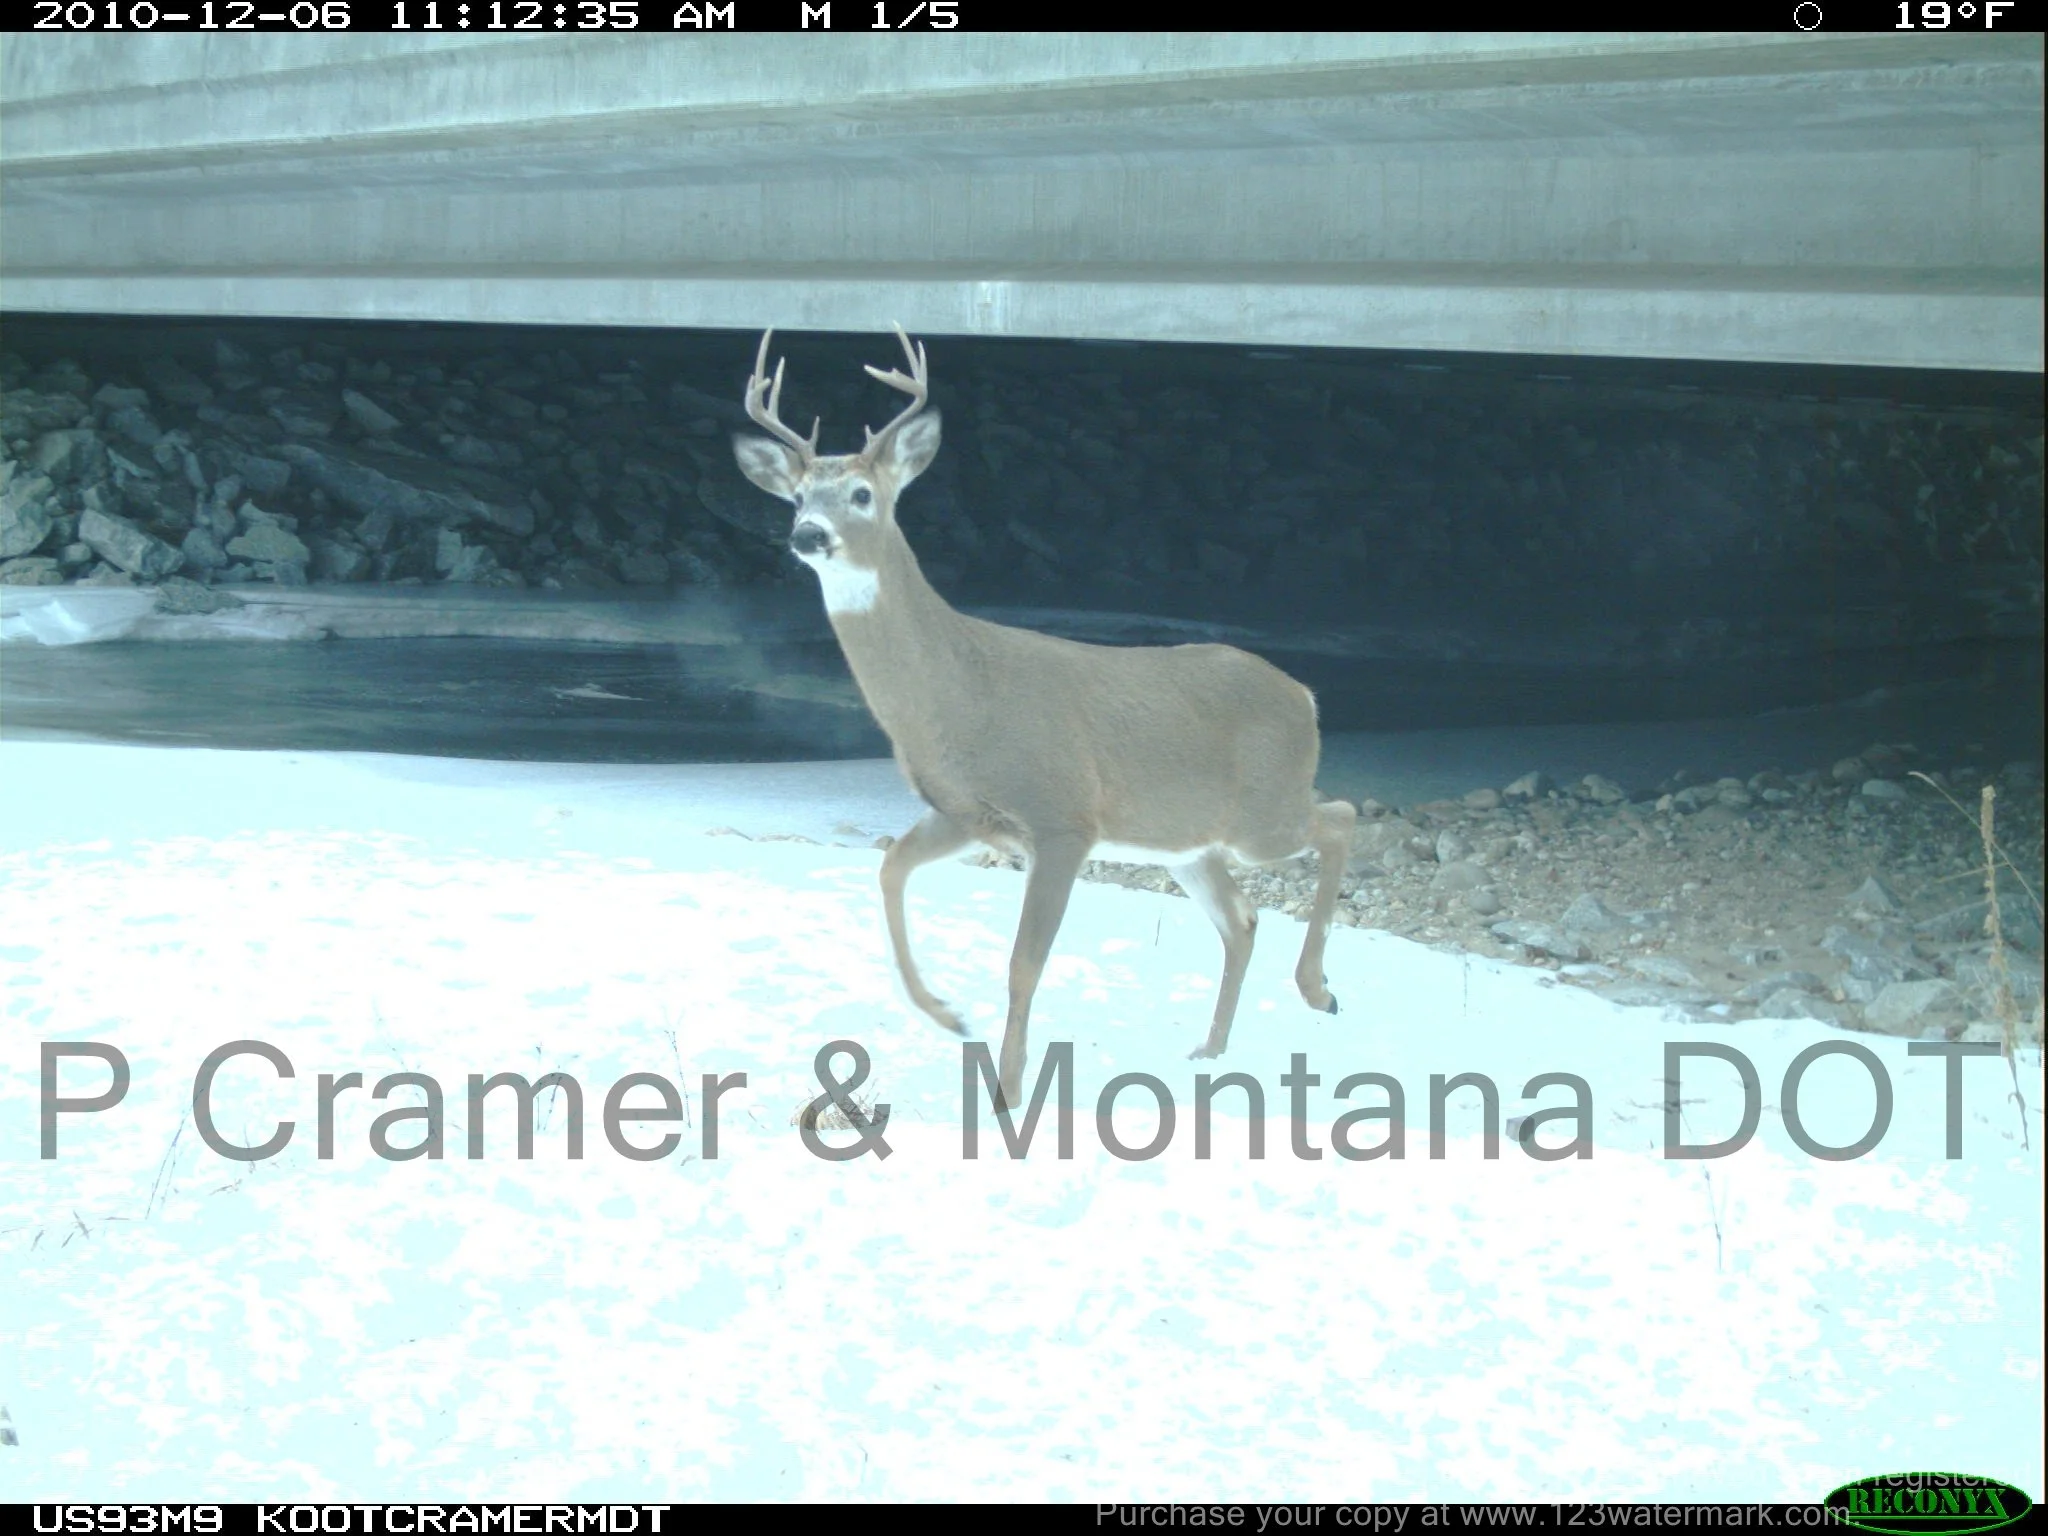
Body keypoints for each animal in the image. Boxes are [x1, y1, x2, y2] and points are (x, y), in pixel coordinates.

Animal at [732, 327, 1358, 1110]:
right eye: (795, 496)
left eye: (861, 493)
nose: (808, 535)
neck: (960, 694)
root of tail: (1305, 695)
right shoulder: (968, 814)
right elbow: (889, 869)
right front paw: (947, 1015)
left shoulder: (1062, 818)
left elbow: (1023, 963)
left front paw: (1005, 1087)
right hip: (1188, 844)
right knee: (1243, 918)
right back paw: (1209, 1050)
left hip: (1263, 814)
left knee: (1340, 817)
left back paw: (1318, 991)